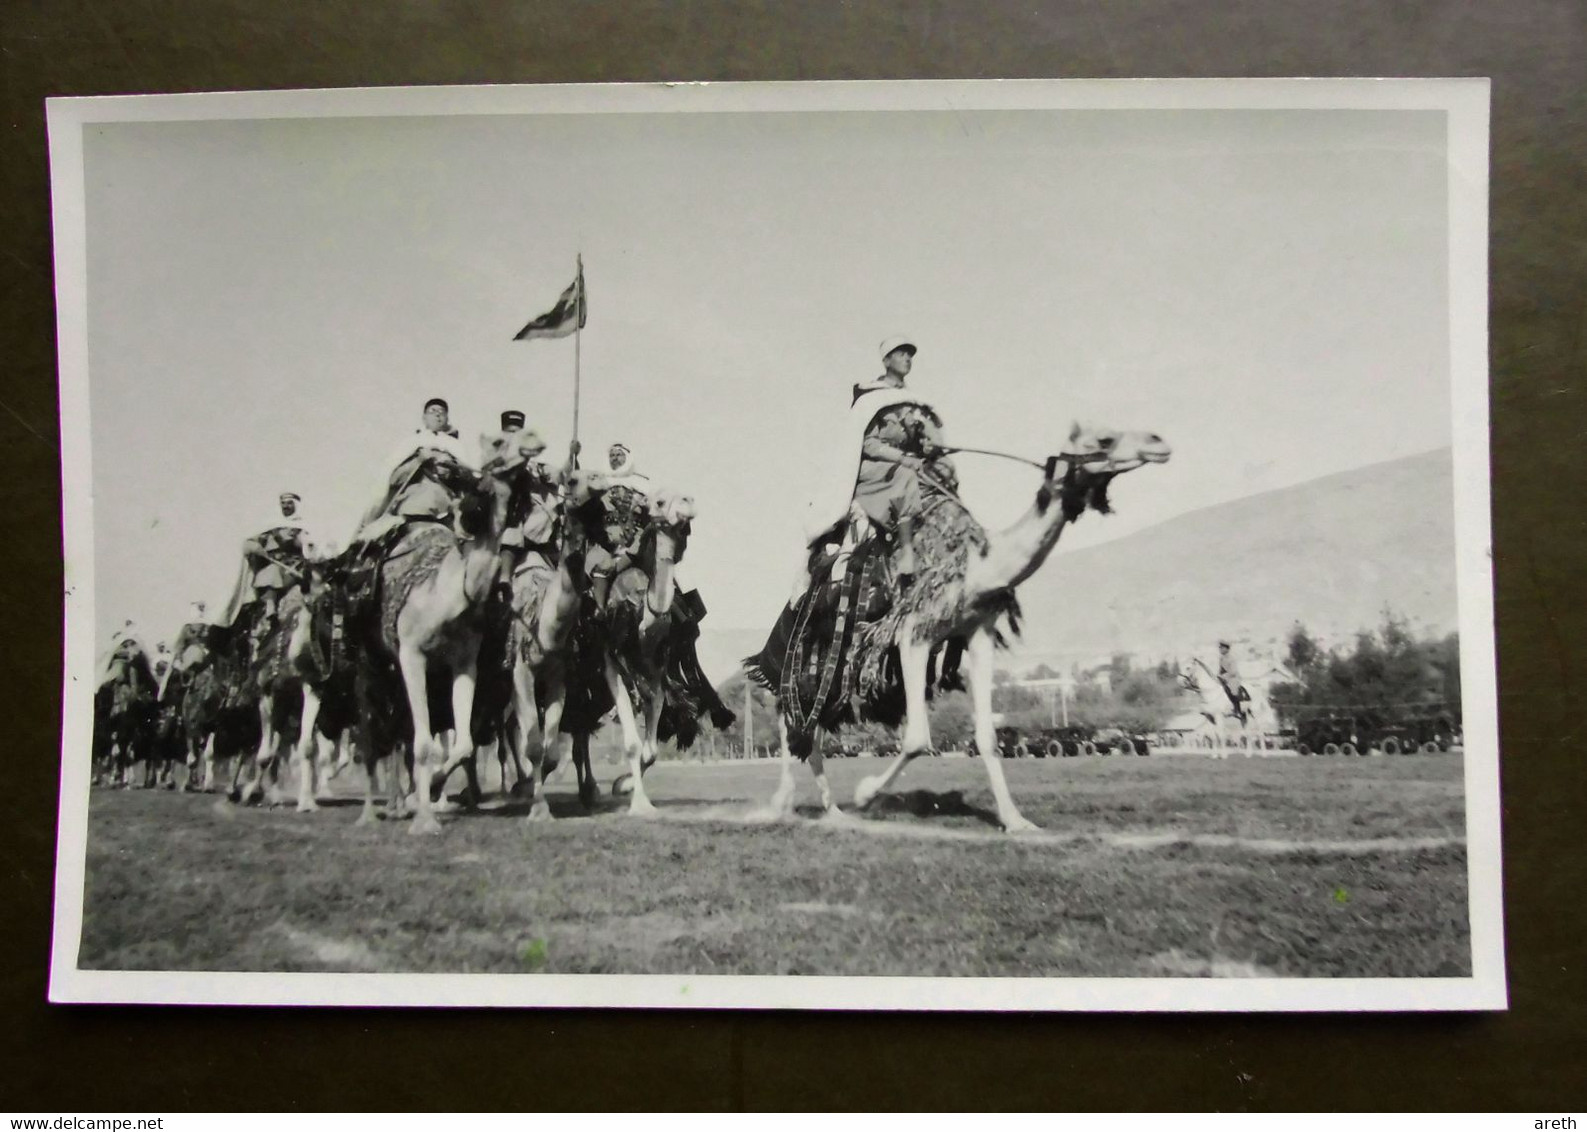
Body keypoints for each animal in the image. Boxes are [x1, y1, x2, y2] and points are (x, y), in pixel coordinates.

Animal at [749, 425, 1174, 831]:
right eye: (1104, 438)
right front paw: (866, 793)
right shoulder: (912, 633)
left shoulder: (977, 632)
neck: (975, 568)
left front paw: (1016, 821)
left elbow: (987, 736)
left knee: (811, 730)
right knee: (791, 721)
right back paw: (783, 806)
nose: (1158, 442)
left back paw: (832, 811)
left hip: (836, 672)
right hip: (805, 663)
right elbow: (917, 738)